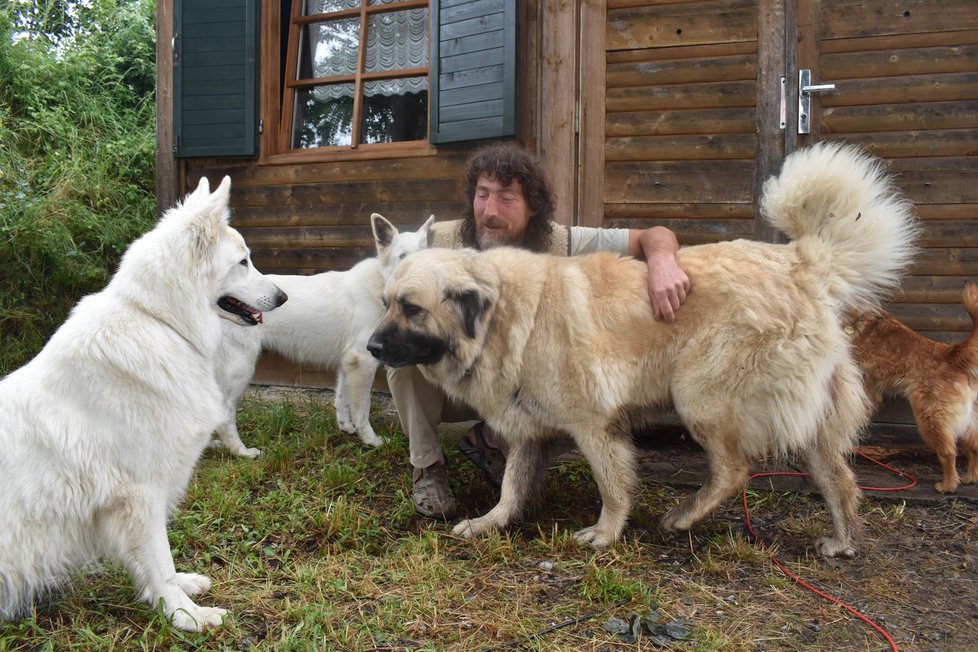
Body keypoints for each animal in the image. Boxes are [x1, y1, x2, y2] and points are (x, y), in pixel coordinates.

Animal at [215, 213, 432, 454]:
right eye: (402, 256)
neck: (380, 286)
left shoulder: (348, 363)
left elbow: (342, 399)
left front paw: (346, 427)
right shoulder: (362, 362)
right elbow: (362, 409)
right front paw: (371, 441)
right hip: (241, 369)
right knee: (225, 416)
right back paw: (241, 452)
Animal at [370, 144, 920, 560]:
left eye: (411, 308)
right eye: (385, 302)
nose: (374, 346)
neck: (502, 315)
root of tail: (799, 261)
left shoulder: (594, 424)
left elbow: (612, 484)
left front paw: (605, 533)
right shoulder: (528, 423)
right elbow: (511, 485)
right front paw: (489, 522)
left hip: (697, 392)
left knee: (733, 470)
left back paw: (683, 517)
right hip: (811, 416)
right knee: (838, 478)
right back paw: (842, 541)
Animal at [848, 282, 976, 492]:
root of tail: (950, 354)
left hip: (930, 419)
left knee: (948, 453)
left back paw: (947, 485)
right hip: (967, 419)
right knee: (973, 446)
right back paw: (971, 477)